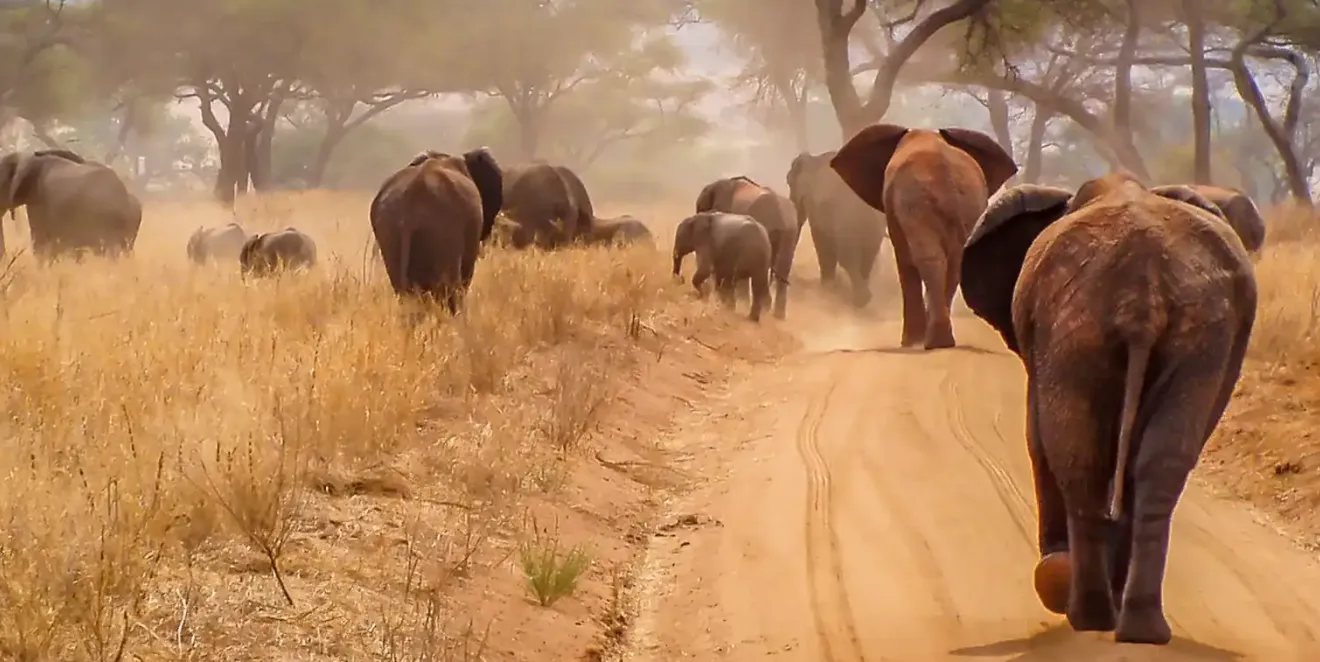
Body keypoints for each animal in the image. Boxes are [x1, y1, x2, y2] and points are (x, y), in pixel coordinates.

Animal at [786, 150, 887, 308]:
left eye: (789, 182)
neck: (812, 160)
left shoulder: (816, 205)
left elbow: (821, 240)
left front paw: (825, 289)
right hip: (874, 227)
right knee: (867, 258)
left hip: (847, 223)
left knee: (847, 259)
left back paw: (859, 301)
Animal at [829, 124, 1019, 349]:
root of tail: (947, 179)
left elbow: (904, 261)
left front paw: (909, 342)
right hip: (964, 206)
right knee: (952, 263)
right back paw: (940, 341)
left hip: (917, 203)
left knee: (928, 259)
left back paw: (930, 340)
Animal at [959, 172, 1257, 645]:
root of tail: (1142, 290)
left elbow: (1037, 437)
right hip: (1191, 333)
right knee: (1152, 461)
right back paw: (1135, 627)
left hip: (1079, 328)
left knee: (1081, 456)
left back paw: (1092, 616)